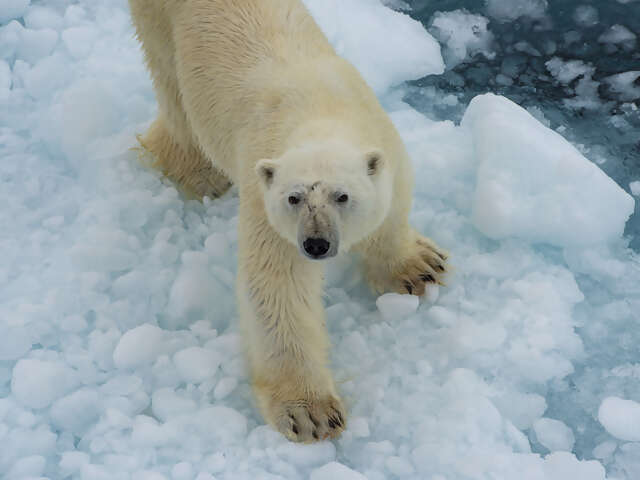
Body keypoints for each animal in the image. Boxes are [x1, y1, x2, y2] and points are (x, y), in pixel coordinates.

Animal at [128, 0, 448, 442]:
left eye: (342, 196)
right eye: (294, 198)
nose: (316, 245)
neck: (320, 112)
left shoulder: (386, 145)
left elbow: (392, 209)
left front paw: (420, 267)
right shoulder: (265, 197)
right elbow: (278, 287)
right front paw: (310, 414)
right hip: (160, 24)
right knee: (173, 92)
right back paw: (197, 173)